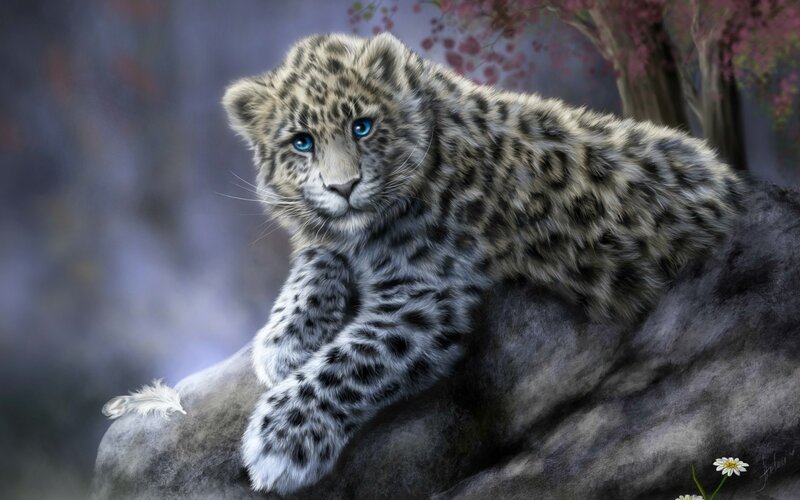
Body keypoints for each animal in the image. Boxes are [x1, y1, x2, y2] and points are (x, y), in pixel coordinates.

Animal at [222, 32, 744, 494]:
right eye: (302, 142)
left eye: (361, 127)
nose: (343, 187)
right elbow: (315, 258)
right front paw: (284, 340)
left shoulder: (425, 296)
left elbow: (349, 361)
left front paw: (280, 439)